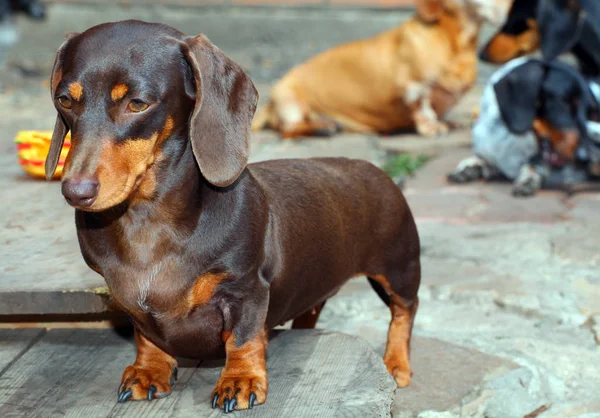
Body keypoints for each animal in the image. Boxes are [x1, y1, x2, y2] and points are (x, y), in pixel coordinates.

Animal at [45, 19, 422, 412]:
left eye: (137, 104)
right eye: (64, 100)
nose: (75, 192)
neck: (147, 219)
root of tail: (374, 169)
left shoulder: (247, 290)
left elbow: (243, 339)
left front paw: (240, 380)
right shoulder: (130, 302)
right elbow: (146, 336)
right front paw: (149, 370)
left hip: (399, 267)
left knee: (405, 310)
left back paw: (397, 364)